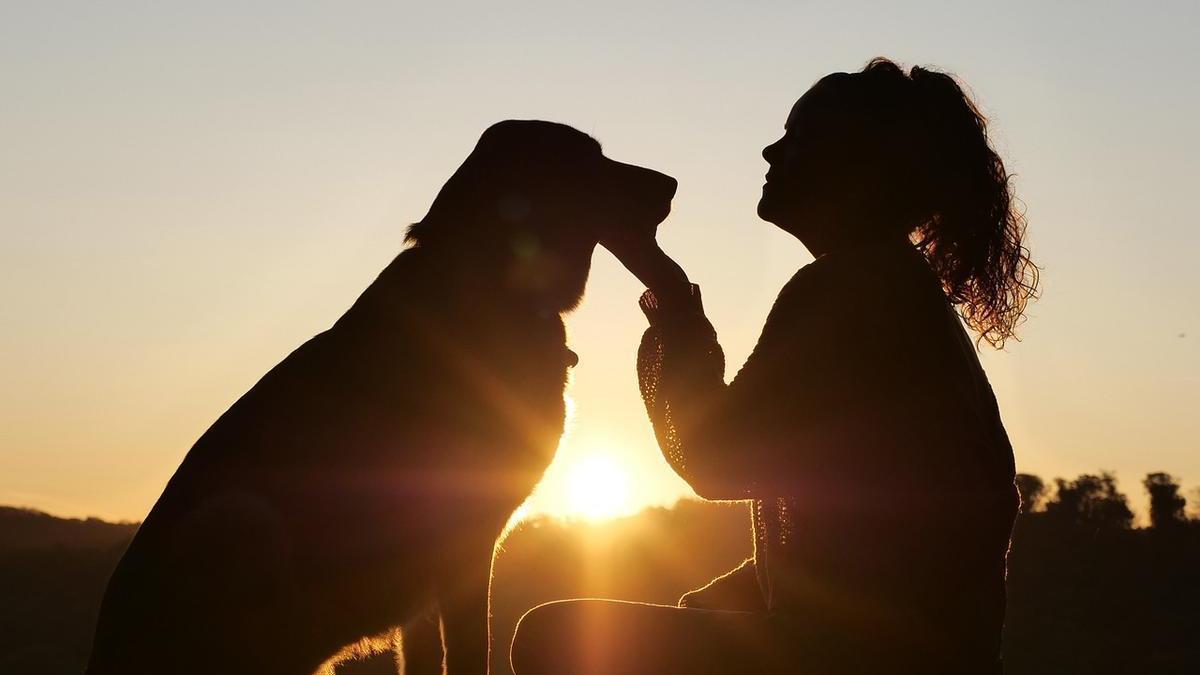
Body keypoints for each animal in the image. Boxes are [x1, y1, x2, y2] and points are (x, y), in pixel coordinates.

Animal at [87, 120, 676, 672]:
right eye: (591, 160)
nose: (670, 184)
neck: (486, 282)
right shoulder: (464, 542)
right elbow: (471, 652)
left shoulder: (428, 588)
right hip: (239, 519)